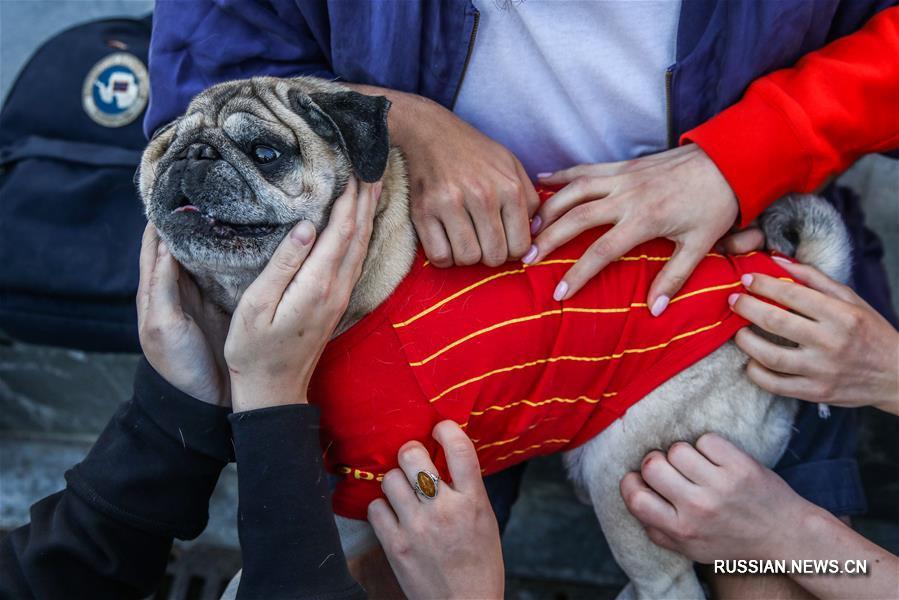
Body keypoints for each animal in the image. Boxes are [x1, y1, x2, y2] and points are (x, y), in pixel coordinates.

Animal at [139, 76, 852, 600]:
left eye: (266, 153)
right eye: (165, 149)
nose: (194, 156)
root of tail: (764, 273)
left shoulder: (375, 484)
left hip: (629, 469)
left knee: (669, 581)